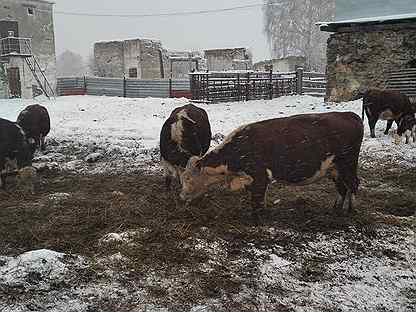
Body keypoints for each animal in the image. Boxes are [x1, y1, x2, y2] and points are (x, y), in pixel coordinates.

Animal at [180, 111, 362, 218]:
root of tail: (349, 114)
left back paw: (351, 210)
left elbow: (257, 199)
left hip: (348, 164)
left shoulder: (260, 176)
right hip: (336, 169)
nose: (181, 196)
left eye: (188, 178)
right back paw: (336, 208)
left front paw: (257, 217)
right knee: (342, 188)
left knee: (353, 184)